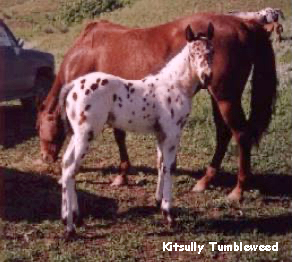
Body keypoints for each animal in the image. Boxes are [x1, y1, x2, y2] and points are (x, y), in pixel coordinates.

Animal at [38, 12, 276, 202]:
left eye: (39, 128)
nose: (45, 158)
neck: (86, 51)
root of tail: (243, 24)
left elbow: (119, 138)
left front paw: (121, 176)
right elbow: (121, 136)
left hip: (226, 98)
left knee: (241, 134)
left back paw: (238, 190)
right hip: (218, 97)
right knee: (223, 133)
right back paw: (205, 181)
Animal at [58, 24, 214, 237]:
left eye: (212, 51)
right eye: (193, 52)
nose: (207, 77)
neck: (174, 85)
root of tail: (73, 85)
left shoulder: (161, 134)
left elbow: (160, 164)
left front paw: (158, 202)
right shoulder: (172, 134)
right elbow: (169, 168)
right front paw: (168, 214)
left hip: (77, 135)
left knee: (66, 165)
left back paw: (72, 216)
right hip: (86, 135)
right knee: (70, 171)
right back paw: (70, 228)